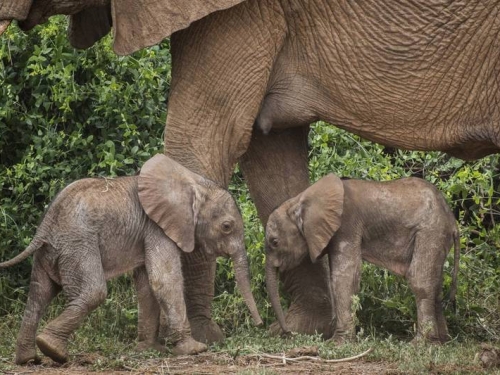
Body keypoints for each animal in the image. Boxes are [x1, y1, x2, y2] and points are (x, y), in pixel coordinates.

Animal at [0, 153, 264, 364]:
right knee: (93, 292)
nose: (260, 325)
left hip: (52, 249)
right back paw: (53, 350)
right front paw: (195, 349)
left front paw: (150, 349)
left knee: (38, 294)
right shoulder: (157, 227)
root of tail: (45, 225)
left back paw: (29, 359)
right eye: (227, 227)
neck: (192, 183)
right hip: (77, 244)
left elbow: (147, 285)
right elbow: (164, 280)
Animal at [266, 175, 460, 346]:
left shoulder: (346, 225)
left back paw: (419, 344)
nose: (287, 332)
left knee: (420, 280)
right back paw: (440, 342)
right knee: (435, 284)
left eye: (274, 242)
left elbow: (344, 277)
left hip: (431, 231)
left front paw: (337, 343)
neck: (300, 200)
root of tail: (453, 221)